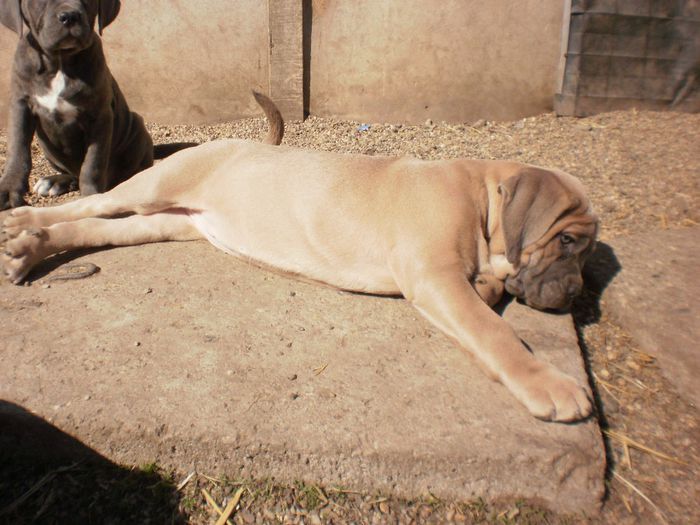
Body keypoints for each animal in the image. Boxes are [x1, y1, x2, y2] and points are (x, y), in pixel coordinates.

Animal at [0, 2, 190, 211]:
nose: (70, 16)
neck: (60, 61)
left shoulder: (100, 116)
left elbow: (93, 163)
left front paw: (91, 195)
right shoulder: (20, 106)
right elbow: (18, 152)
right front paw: (8, 191)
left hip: (136, 126)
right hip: (47, 146)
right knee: (73, 172)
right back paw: (56, 181)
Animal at [2, 93, 600, 422]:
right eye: (567, 242)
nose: (576, 294)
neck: (480, 196)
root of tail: (221, 141)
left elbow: (490, 295)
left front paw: (494, 287)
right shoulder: (434, 276)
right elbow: (493, 331)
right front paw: (547, 384)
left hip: (168, 223)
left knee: (92, 228)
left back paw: (30, 250)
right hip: (152, 188)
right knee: (89, 203)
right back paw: (21, 222)